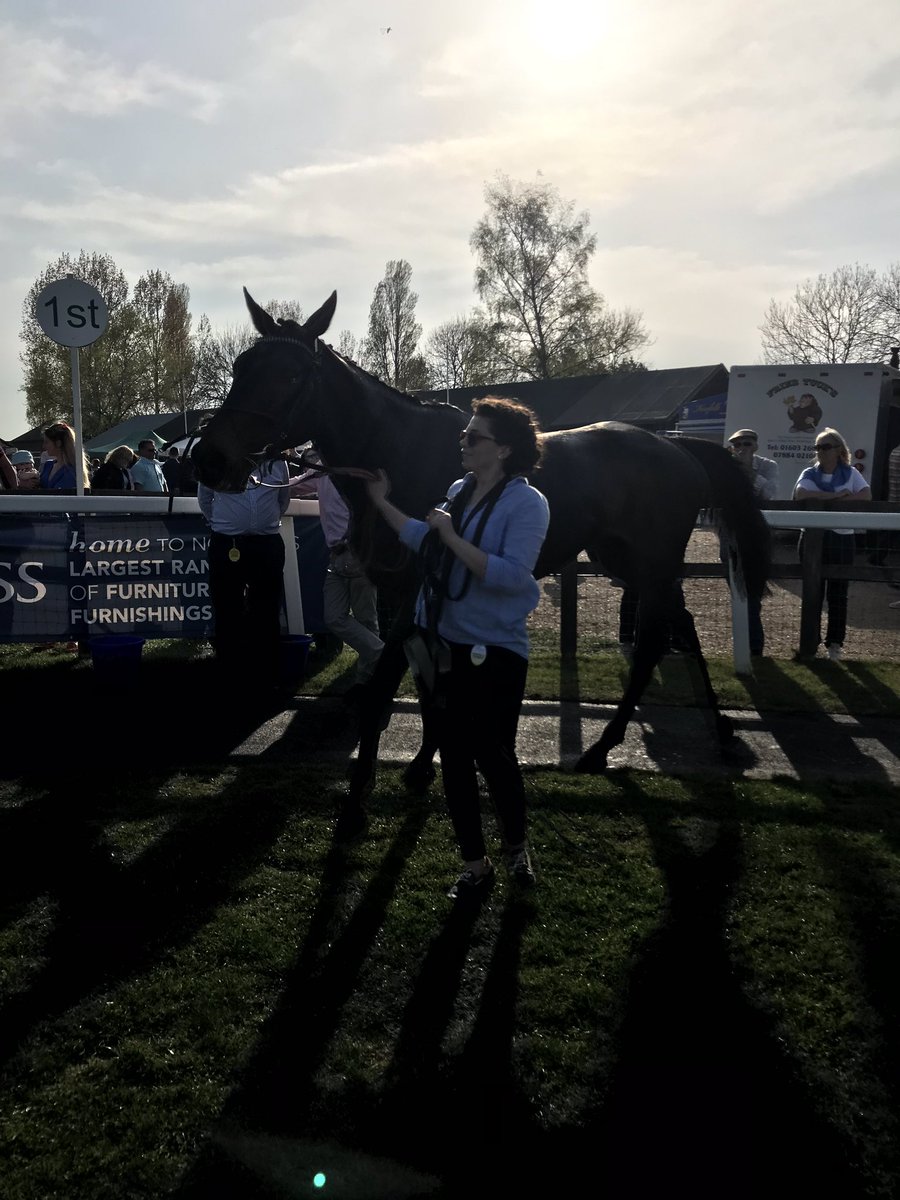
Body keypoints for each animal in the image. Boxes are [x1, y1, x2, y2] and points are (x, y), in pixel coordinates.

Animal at [193, 290, 770, 800]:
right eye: (242, 365)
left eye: (291, 374)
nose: (208, 458)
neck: (397, 455)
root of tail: (679, 447)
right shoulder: (411, 594)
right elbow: (429, 682)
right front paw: (424, 763)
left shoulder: (411, 592)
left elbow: (387, 689)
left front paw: (366, 782)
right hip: (628, 563)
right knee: (679, 626)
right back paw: (692, 733)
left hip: (652, 564)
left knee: (657, 639)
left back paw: (615, 746)